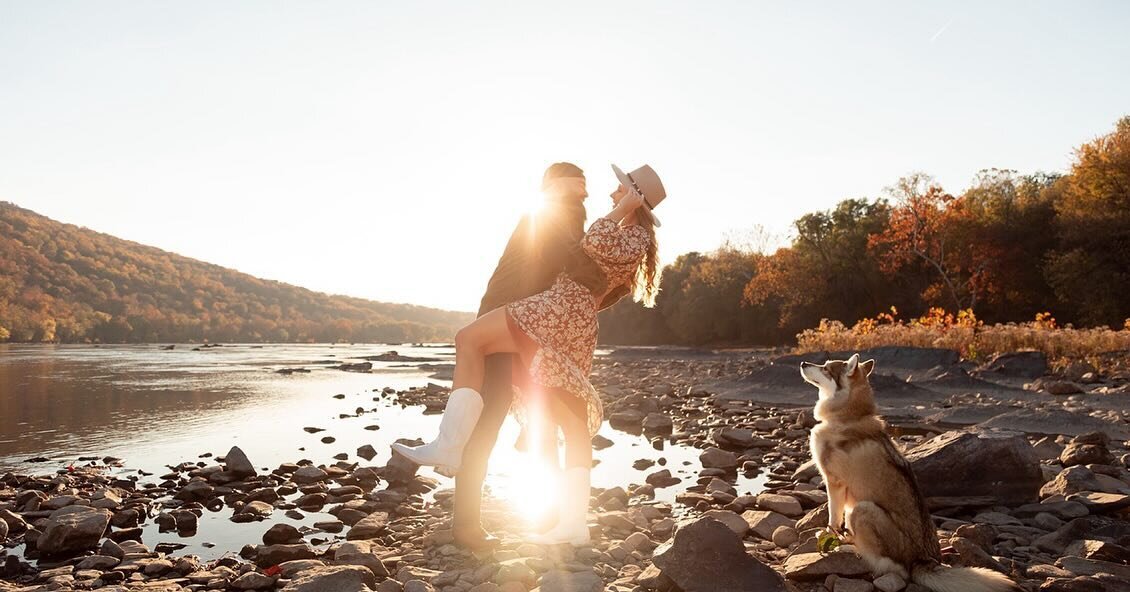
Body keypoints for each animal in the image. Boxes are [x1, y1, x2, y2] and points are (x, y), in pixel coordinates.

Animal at [800, 357, 1021, 592]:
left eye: (825, 368)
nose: (803, 363)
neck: (848, 416)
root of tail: (920, 560)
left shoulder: (834, 482)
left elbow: (833, 518)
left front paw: (829, 536)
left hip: (862, 509)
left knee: (890, 566)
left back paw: (849, 547)